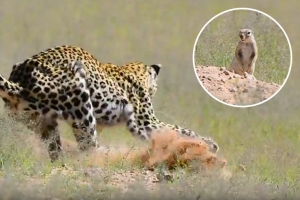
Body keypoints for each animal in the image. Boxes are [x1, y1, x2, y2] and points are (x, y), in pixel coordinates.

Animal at [0, 44, 218, 162]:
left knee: (57, 151)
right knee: (89, 146)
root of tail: (19, 78)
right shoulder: (144, 123)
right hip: (80, 95)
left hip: (43, 123)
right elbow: (180, 129)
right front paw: (209, 144)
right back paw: (110, 156)